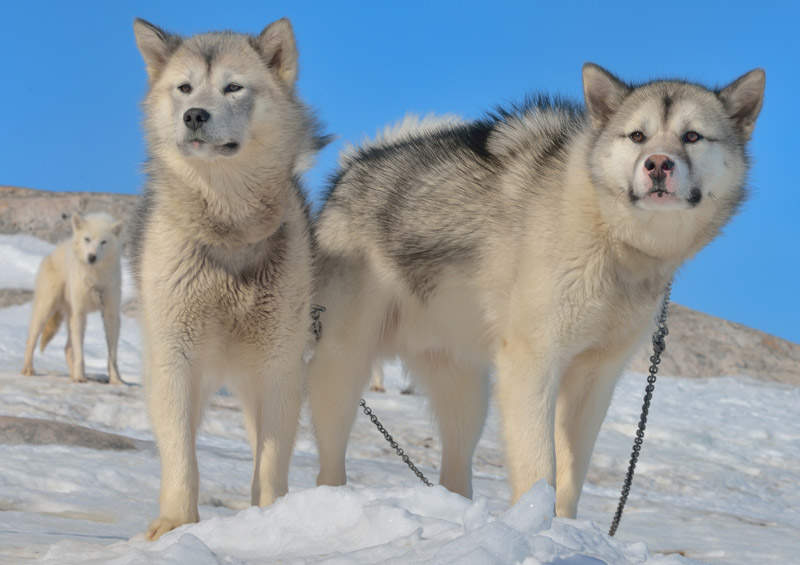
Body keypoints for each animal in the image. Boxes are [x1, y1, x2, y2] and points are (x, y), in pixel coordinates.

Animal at [20, 214, 124, 386]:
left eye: (103, 242)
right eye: (87, 239)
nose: (91, 257)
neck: (95, 278)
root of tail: (51, 254)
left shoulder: (111, 314)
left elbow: (112, 355)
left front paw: (116, 380)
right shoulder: (80, 313)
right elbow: (80, 353)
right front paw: (80, 377)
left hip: (70, 318)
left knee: (67, 348)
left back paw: (72, 375)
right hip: (47, 310)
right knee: (31, 340)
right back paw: (28, 370)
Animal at [131, 16, 322, 536]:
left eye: (233, 87)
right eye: (184, 88)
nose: (194, 115)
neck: (228, 228)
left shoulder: (278, 368)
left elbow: (270, 462)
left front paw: (272, 520)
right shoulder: (175, 360)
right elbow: (181, 455)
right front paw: (175, 525)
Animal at [306, 64, 764, 516]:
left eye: (692, 136)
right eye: (637, 135)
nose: (657, 164)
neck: (608, 232)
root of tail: (351, 171)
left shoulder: (595, 376)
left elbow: (571, 476)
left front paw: (566, 529)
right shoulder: (533, 362)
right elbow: (540, 467)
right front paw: (538, 525)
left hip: (466, 393)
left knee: (455, 468)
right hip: (343, 368)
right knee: (328, 461)